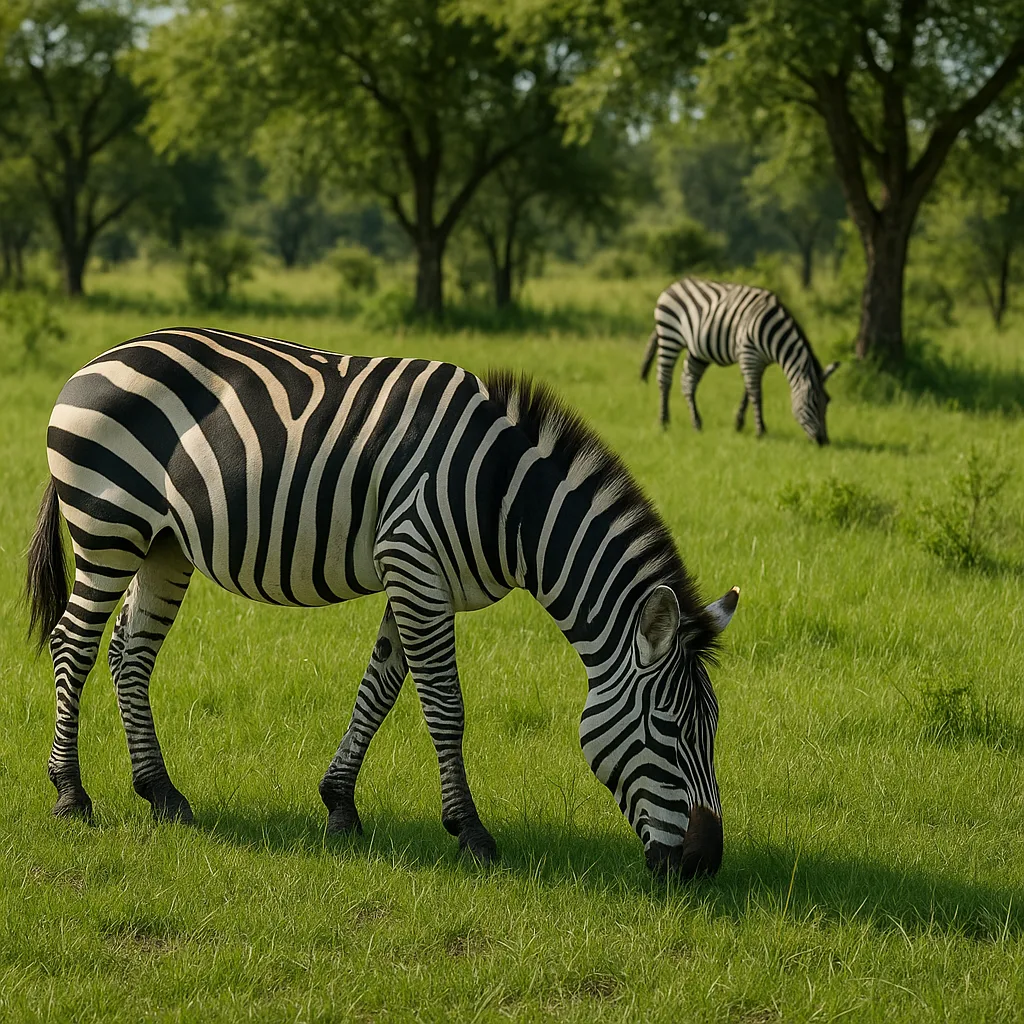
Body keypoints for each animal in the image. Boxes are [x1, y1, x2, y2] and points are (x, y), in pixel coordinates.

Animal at [26, 327, 740, 877]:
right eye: (669, 730)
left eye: (713, 731)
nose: (705, 864)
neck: (505, 497)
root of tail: (96, 360)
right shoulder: (413, 561)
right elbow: (445, 707)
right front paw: (471, 833)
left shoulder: (417, 577)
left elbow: (379, 691)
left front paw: (340, 804)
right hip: (108, 526)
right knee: (75, 642)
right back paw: (70, 794)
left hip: (163, 544)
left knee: (130, 651)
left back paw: (161, 793)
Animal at [640, 277, 840, 444]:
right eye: (813, 402)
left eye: (828, 402)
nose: (824, 441)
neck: (773, 336)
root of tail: (674, 285)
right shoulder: (748, 355)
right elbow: (756, 393)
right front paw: (760, 431)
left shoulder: (758, 361)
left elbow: (748, 392)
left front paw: (739, 423)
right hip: (669, 336)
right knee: (664, 379)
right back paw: (663, 422)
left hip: (697, 351)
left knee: (688, 381)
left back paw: (696, 423)